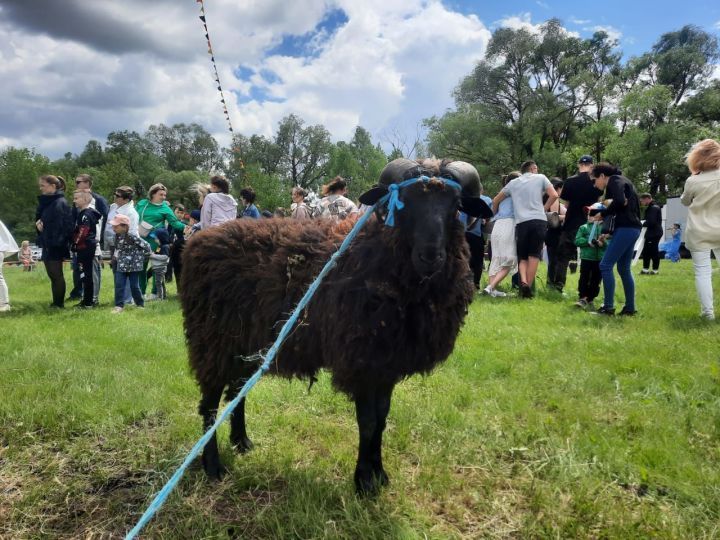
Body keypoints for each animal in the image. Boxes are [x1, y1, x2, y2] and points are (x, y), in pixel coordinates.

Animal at [183, 157, 492, 494]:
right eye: (404, 203)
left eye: (455, 205)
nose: (430, 256)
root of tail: (196, 242)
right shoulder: (362, 361)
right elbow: (368, 422)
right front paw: (364, 482)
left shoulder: (386, 363)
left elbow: (382, 418)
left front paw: (380, 475)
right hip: (212, 341)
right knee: (210, 404)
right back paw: (213, 466)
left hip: (246, 345)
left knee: (236, 393)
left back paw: (242, 442)